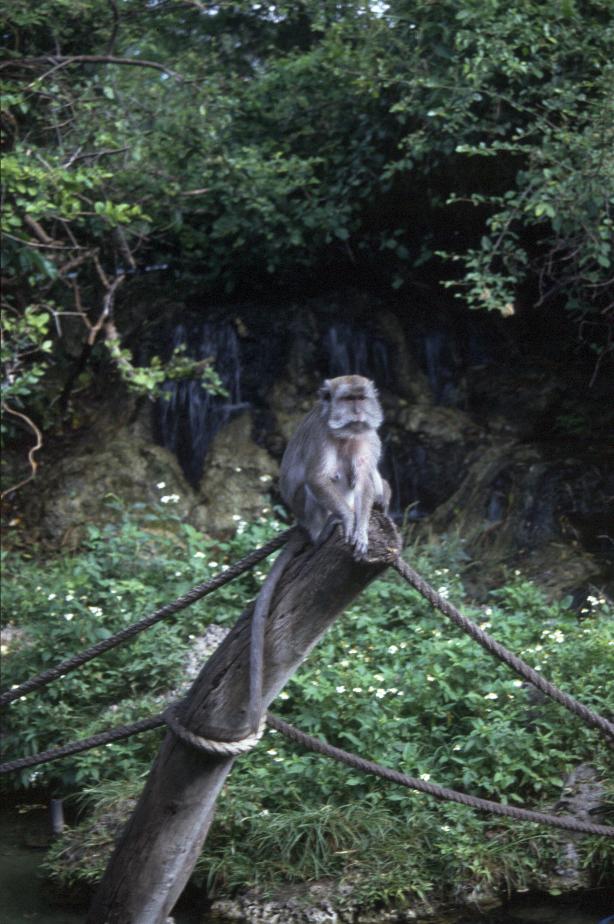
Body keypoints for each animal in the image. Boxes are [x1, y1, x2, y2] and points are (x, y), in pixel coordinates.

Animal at [247, 375, 390, 731]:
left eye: (360, 398)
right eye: (347, 399)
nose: (357, 411)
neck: (347, 435)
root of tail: (301, 523)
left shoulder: (368, 437)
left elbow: (365, 479)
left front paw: (361, 528)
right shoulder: (322, 436)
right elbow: (318, 477)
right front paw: (350, 523)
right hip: (307, 509)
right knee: (327, 479)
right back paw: (326, 530)